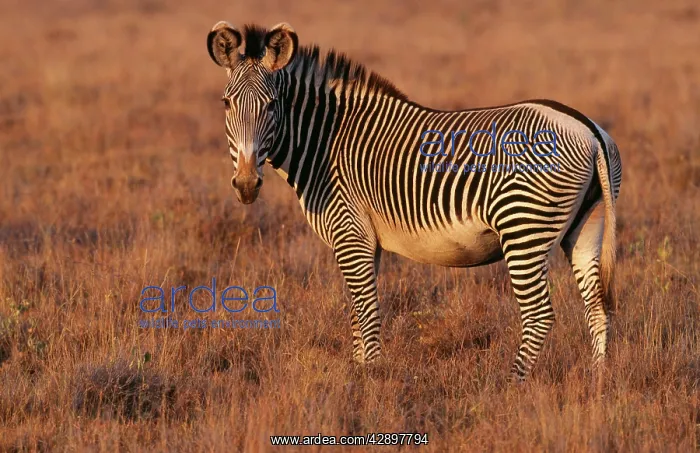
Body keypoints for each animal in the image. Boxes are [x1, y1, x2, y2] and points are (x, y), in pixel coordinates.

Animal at [205, 21, 622, 382]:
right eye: (226, 104)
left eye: (272, 104)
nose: (246, 185)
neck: (326, 141)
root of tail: (587, 130)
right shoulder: (365, 242)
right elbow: (357, 314)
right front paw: (360, 372)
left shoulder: (351, 234)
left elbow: (367, 312)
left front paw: (370, 382)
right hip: (586, 226)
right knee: (598, 307)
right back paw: (597, 384)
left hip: (524, 228)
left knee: (539, 315)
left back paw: (511, 385)